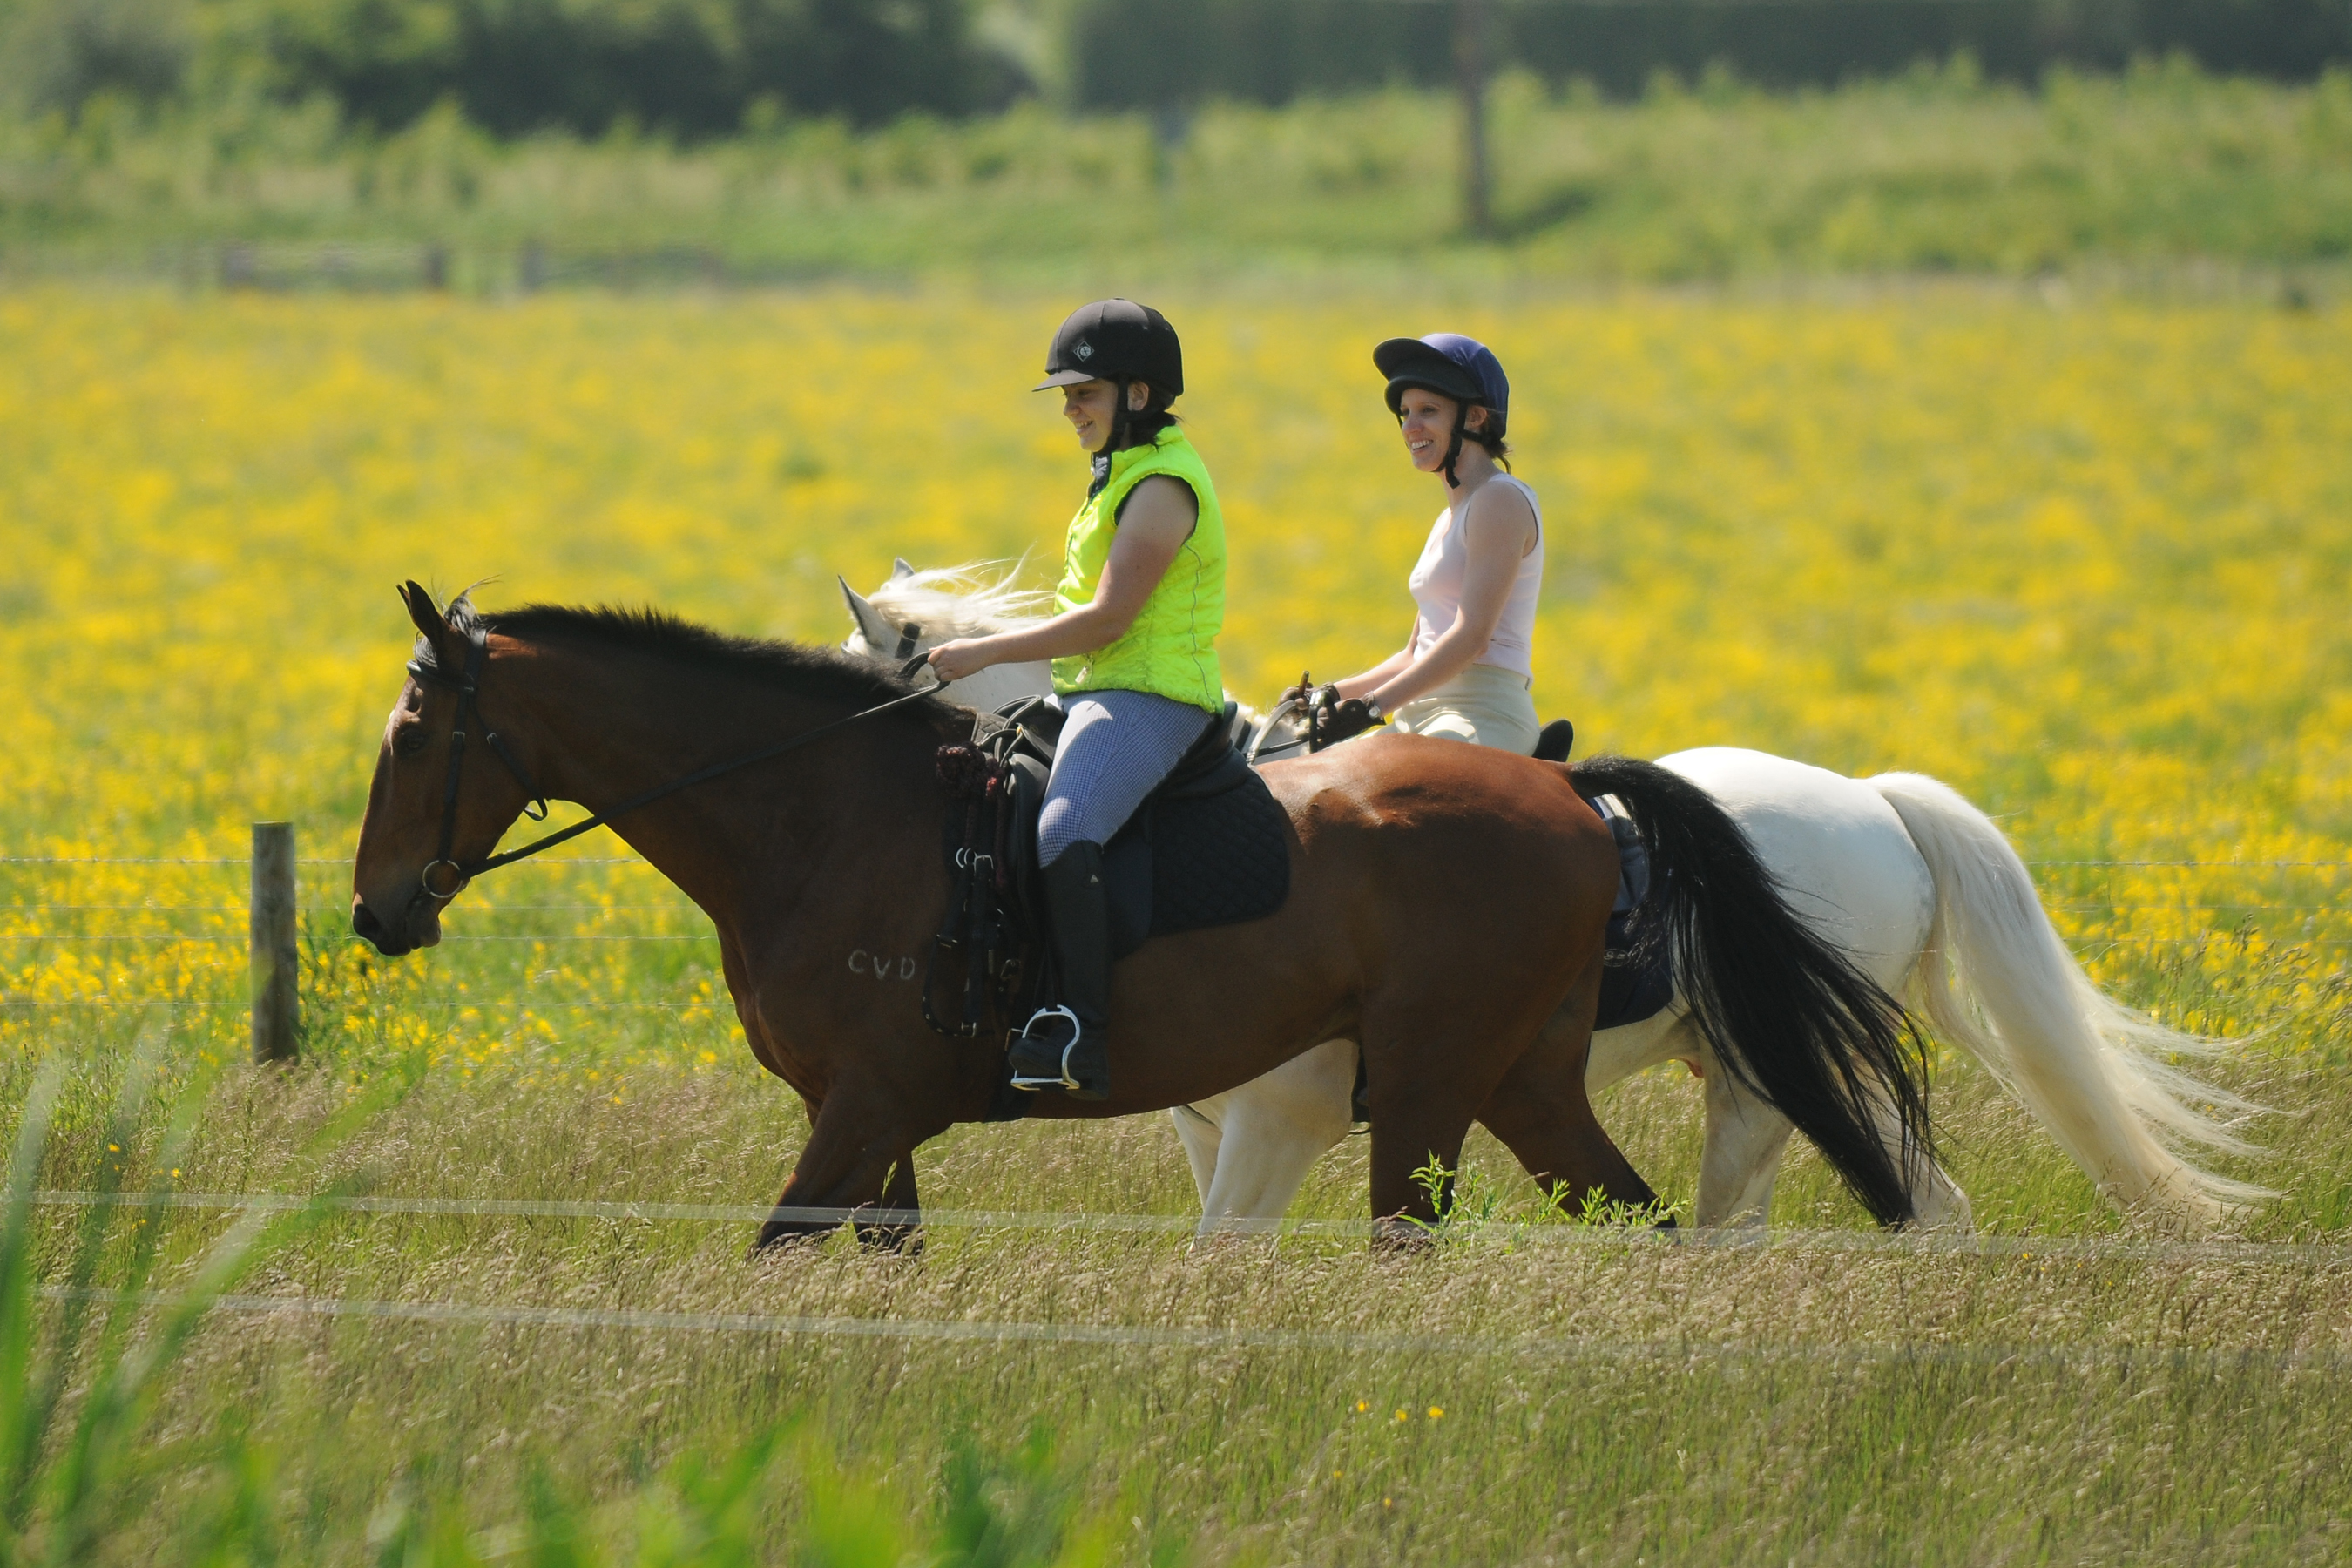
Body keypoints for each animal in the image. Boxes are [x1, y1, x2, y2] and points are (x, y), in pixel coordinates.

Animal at [353, 582, 1718, 1249]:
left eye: (413, 735)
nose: (374, 913)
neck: (823, 818)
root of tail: (1566, 793)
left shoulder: (869, 1104)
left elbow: (777, 1249)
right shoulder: (864, 1115)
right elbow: (879, 1265)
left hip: (1431, 1086)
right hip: (1521, 1083)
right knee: (1644, 1223)